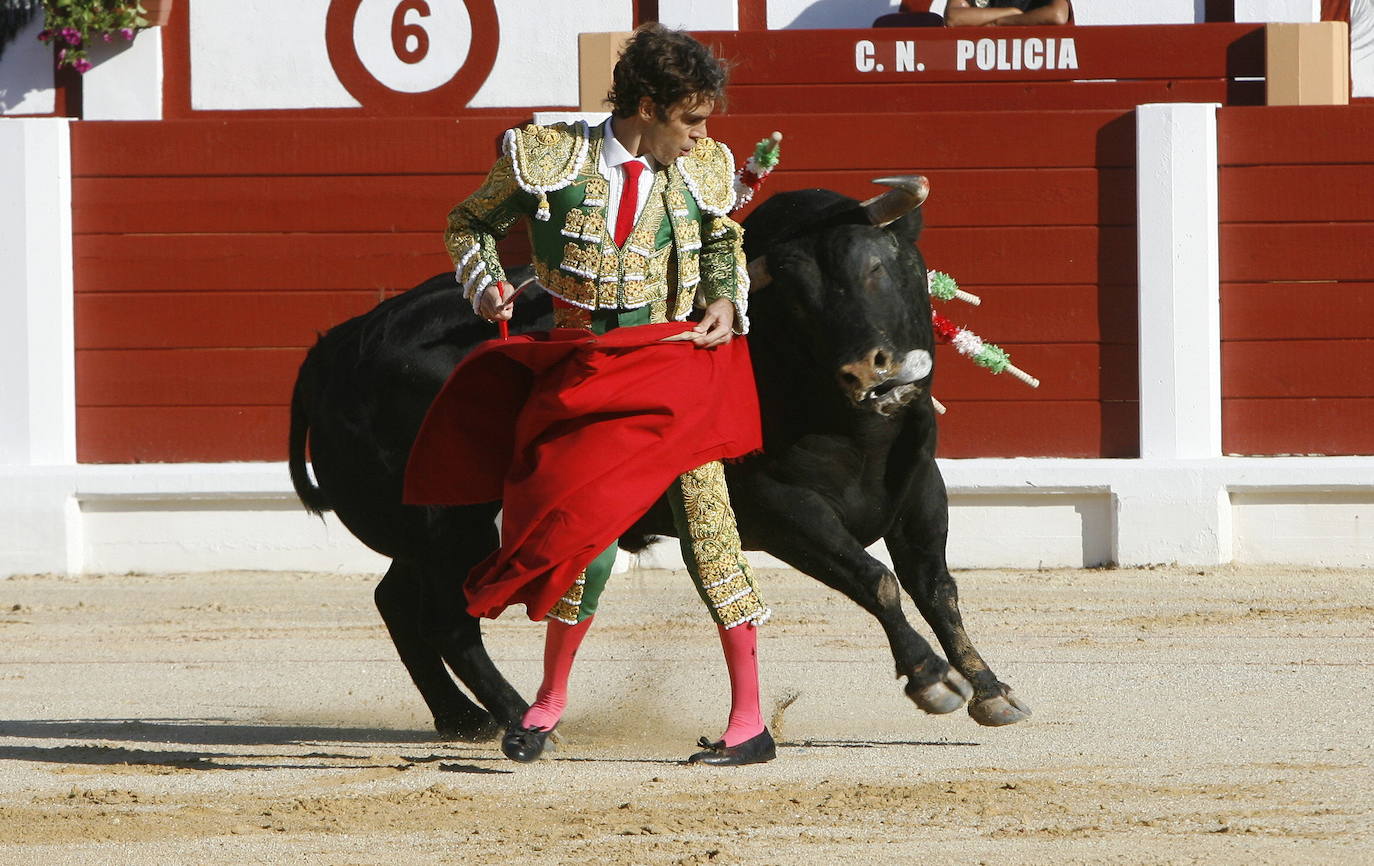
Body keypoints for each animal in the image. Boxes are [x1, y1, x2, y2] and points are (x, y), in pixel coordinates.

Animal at [289, 180, 1033, 742]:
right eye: (793, 297)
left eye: (874, 266)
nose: (869, 371)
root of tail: (339, 347)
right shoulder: (780, 510)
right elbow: (875, 580)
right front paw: (932, 680)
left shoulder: (921, 489)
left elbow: (937, 588)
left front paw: (991, 688)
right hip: (451, 524)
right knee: (447, 618)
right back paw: (519, 719)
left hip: (429, 535)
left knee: (397, 602)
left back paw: (462, 720)